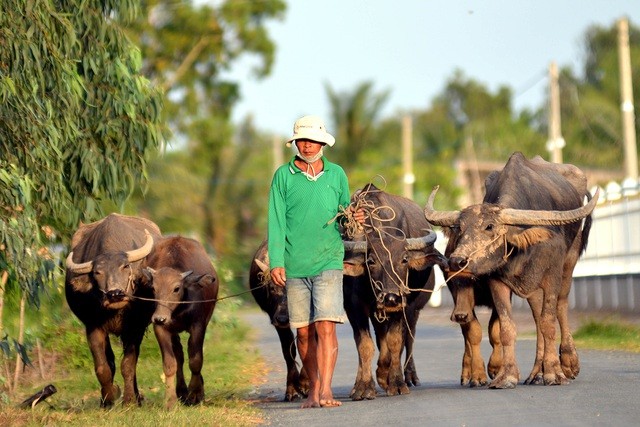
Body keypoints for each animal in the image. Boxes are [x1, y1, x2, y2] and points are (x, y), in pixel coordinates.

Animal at [65, 214, 161, 408]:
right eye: (97, 272)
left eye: (125, 267)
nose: (115, 294)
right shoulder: (93, 326)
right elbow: (103, 367)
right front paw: (109, 397)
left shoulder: (135, 328)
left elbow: (128, 365)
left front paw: (130, 400)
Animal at [141, 236, 219, 410]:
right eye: (154, 288)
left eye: (176, 288)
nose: (160, 318)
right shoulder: (161, 329)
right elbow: (170, 364)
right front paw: (170, 401)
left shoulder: (198, 326)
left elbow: (196, 360)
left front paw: (196, 394)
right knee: (179, 355)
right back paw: (182, 392)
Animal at [344, 184, 444, 402]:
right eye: (371, 261)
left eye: (405, 259)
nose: (391, 297)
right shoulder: (354, 307)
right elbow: (365, 345)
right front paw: (365, 387)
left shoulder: (402, 306)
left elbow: (395, 341)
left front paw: (396, 382)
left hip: (413, 309)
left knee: (409, 338)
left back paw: (409, 376)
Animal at [422, 152, 596, 390]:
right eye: (460, 228)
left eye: (489, 226)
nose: (457, 261)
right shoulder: (497, 281)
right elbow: (506, 328)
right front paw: (508, 376)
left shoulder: (552, 274)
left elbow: (549, 322)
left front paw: (554, 372)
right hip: (532, 288)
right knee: (536, 318)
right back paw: (536, 373)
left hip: (569, 263)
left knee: (560, 307)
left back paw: (568, 364)